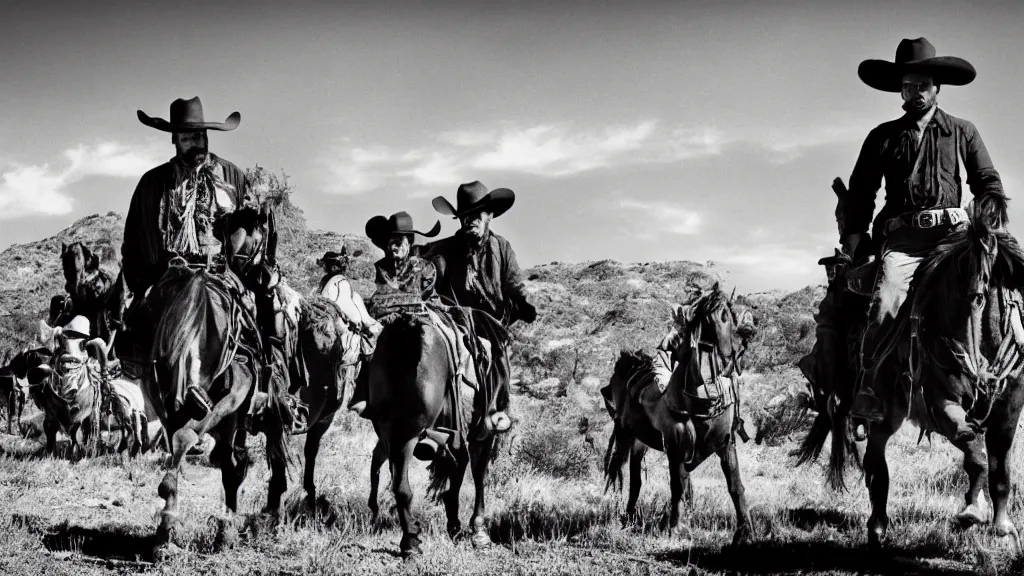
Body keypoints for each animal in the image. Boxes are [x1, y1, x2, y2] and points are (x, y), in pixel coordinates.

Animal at [368, 303, 512, 553]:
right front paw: (478, 531)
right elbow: (478, 474)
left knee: (394, 478)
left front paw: (454, 522)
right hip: (408, 434)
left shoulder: (455, 434)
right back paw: (411, 541)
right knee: (402, 486)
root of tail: (409, 330)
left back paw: (402, 533)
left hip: (390, 432)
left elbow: (457, 468)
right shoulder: (483, 432)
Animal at [598, 284, 761, 545]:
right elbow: (677, 487)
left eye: (729, 315)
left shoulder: (725, 445)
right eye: (710, 319)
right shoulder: (676, 449)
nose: (728, 359)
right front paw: (673, 528)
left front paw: (746, 531)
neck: (700, 402)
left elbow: (735, 487)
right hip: (630, 438)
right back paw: (629, 518)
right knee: (633, 479)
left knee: (642, 480)